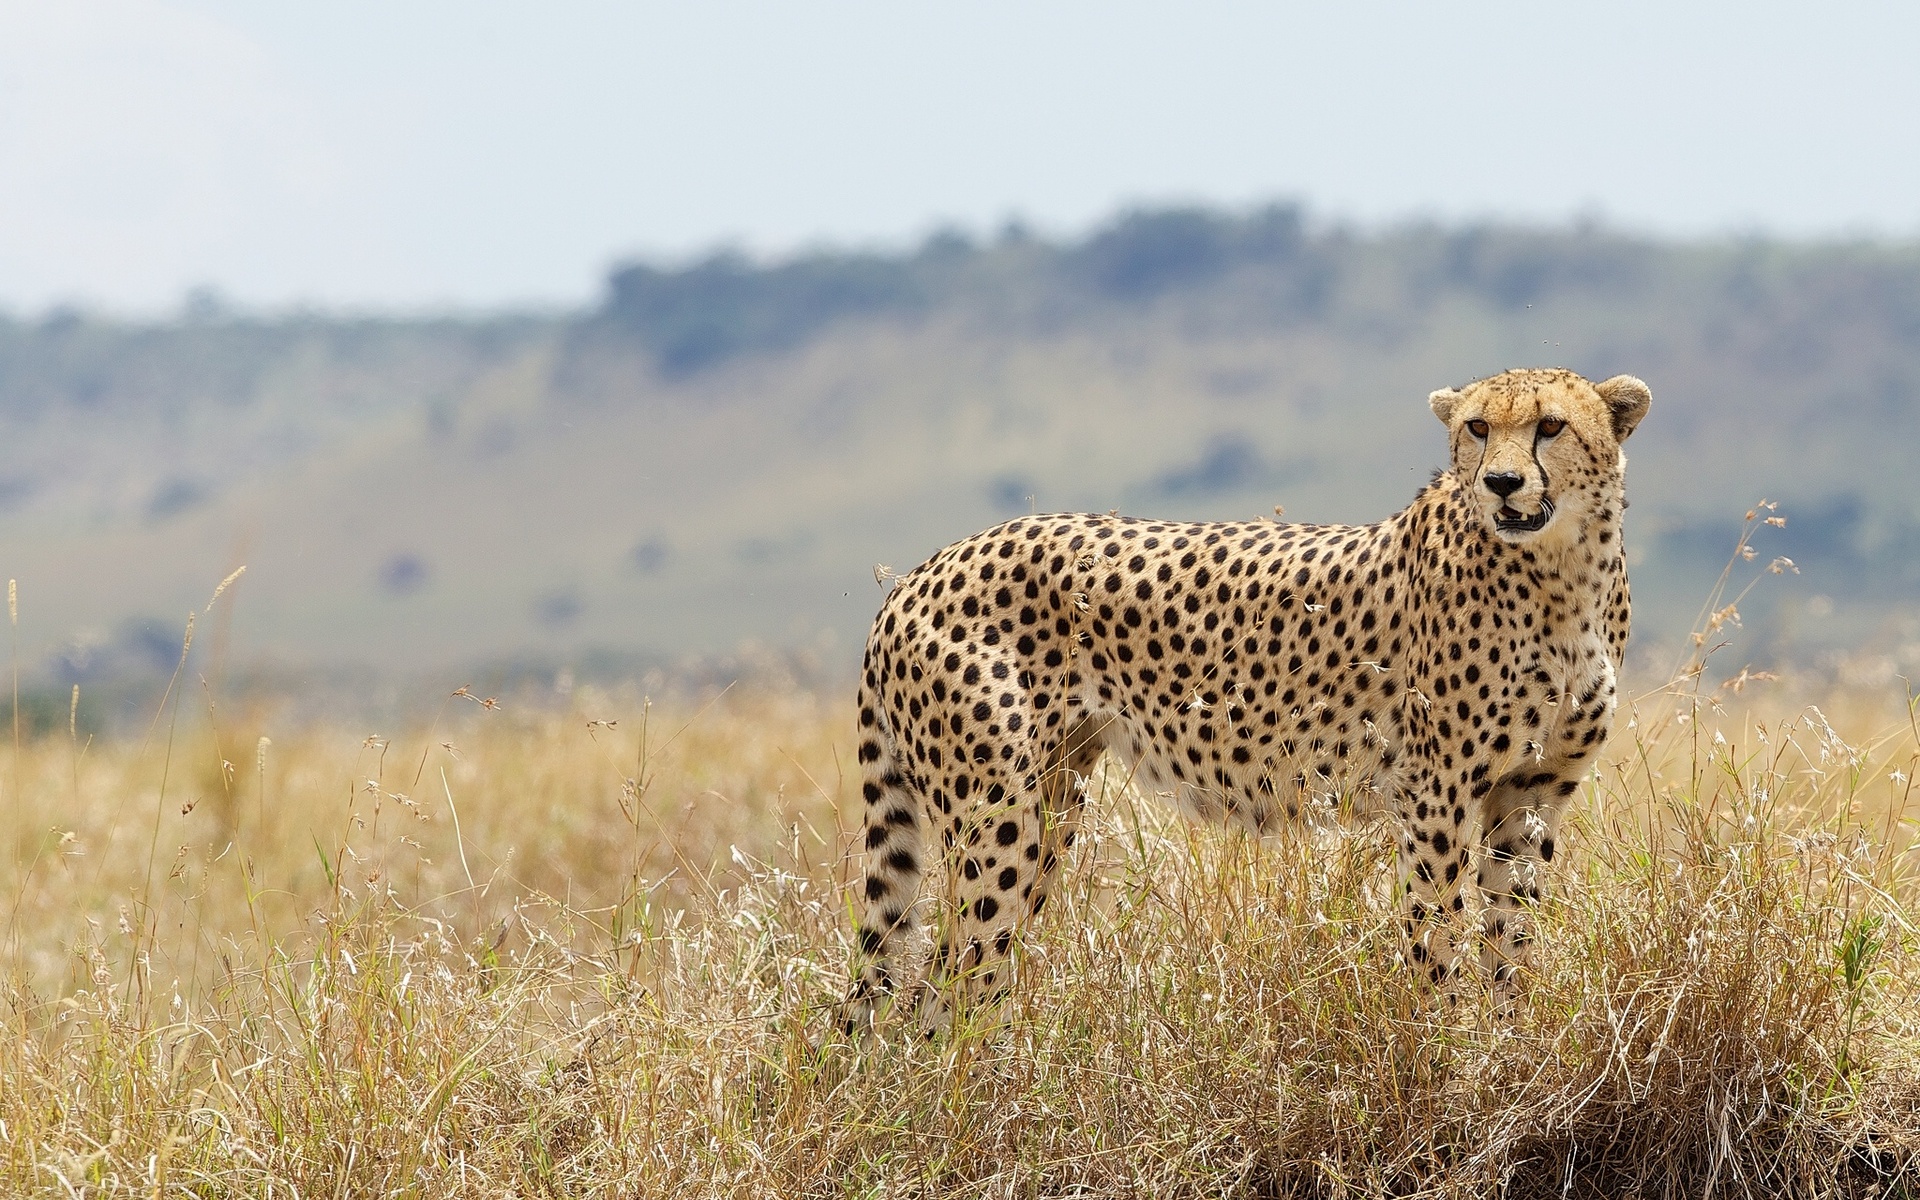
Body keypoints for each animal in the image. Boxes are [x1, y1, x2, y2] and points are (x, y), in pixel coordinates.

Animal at [840, 364, 1651, 1029]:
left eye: (1551, 426)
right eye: (1478, 428)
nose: (1502, 484)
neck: (1562, 573)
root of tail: (920, 571)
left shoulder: (1530, 790)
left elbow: (1511, 937)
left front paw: (1512, 1043)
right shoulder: (1436, 790)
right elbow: (1439, 931)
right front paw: (1453, 1053)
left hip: (1051, 796)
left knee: (945, 978)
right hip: (997, 812)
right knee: (952, 979)